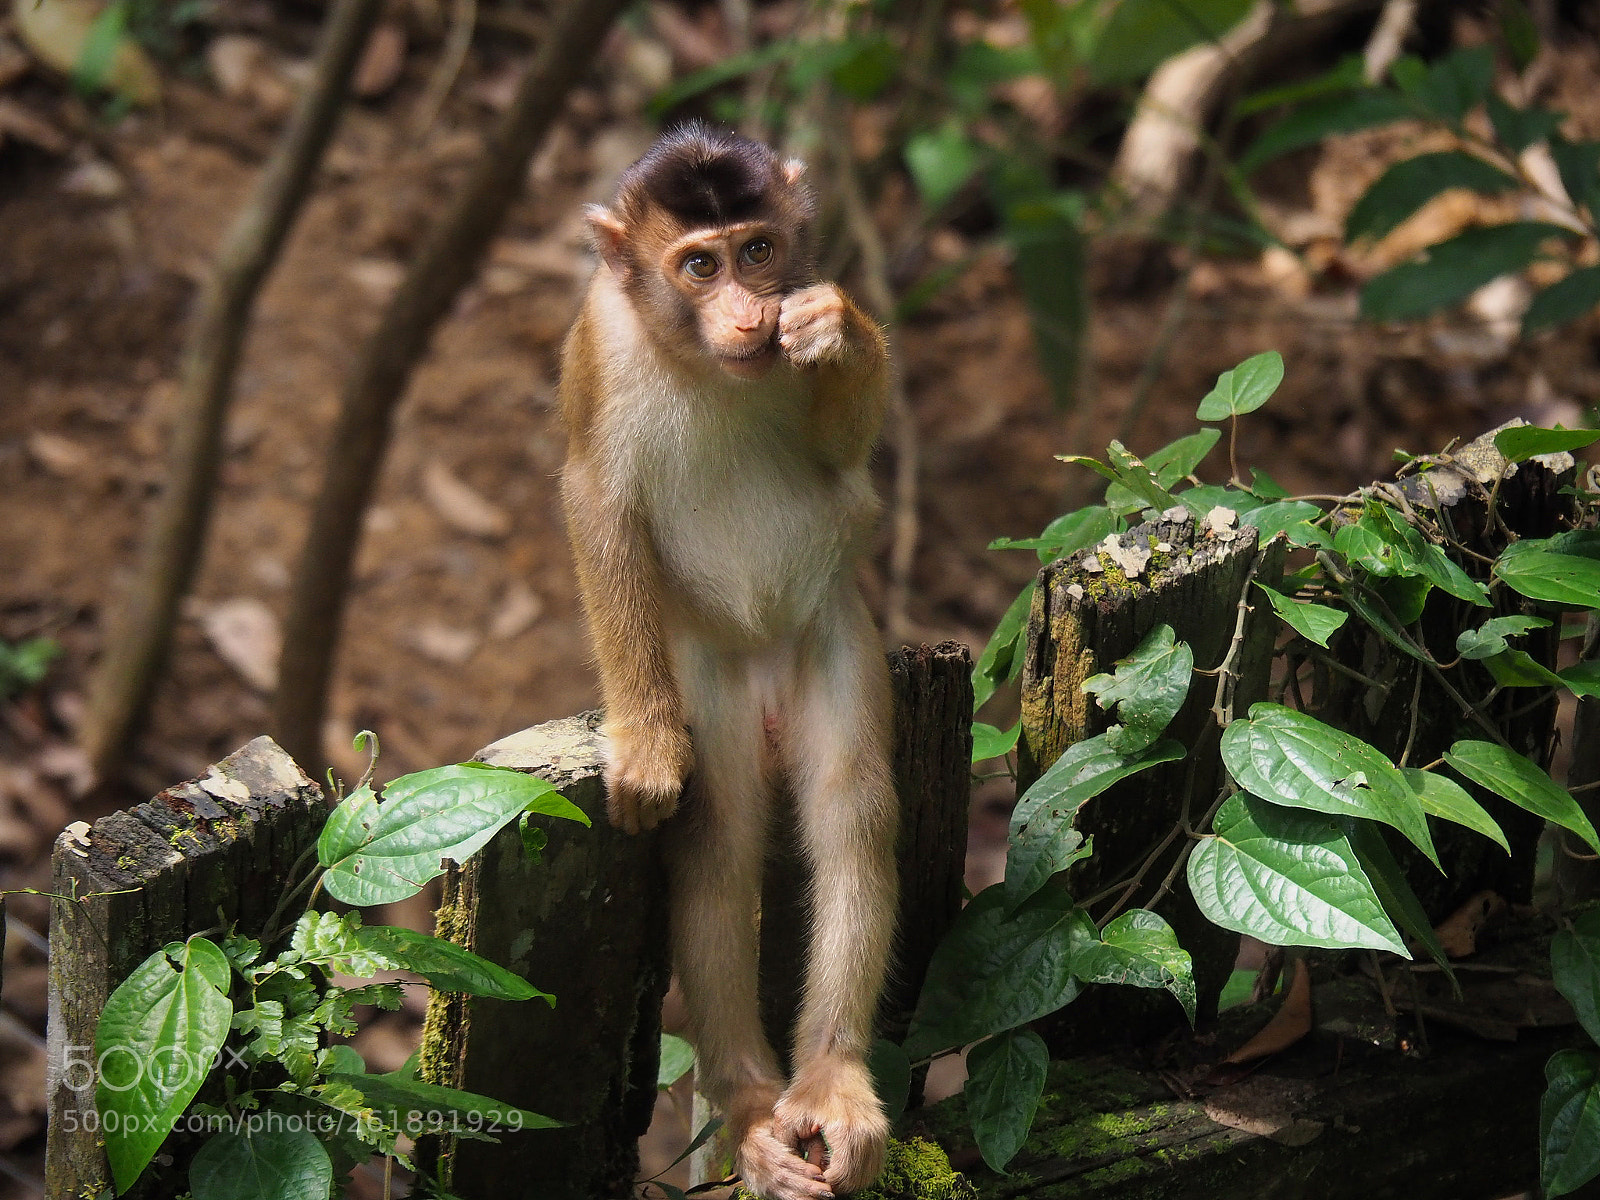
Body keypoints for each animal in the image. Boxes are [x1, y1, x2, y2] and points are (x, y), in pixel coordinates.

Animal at [557, 123, 897, 1200]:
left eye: (758, 251)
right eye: (698, 266)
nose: (750, 313)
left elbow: (843, 455)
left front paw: (839, 332)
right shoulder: (598, 344)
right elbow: (597, 500)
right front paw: (645, 747)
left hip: (830, 636)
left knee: (852, 812)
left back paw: (829, 1081)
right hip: (708, 673)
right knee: (717, 844)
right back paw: (750, 1106)